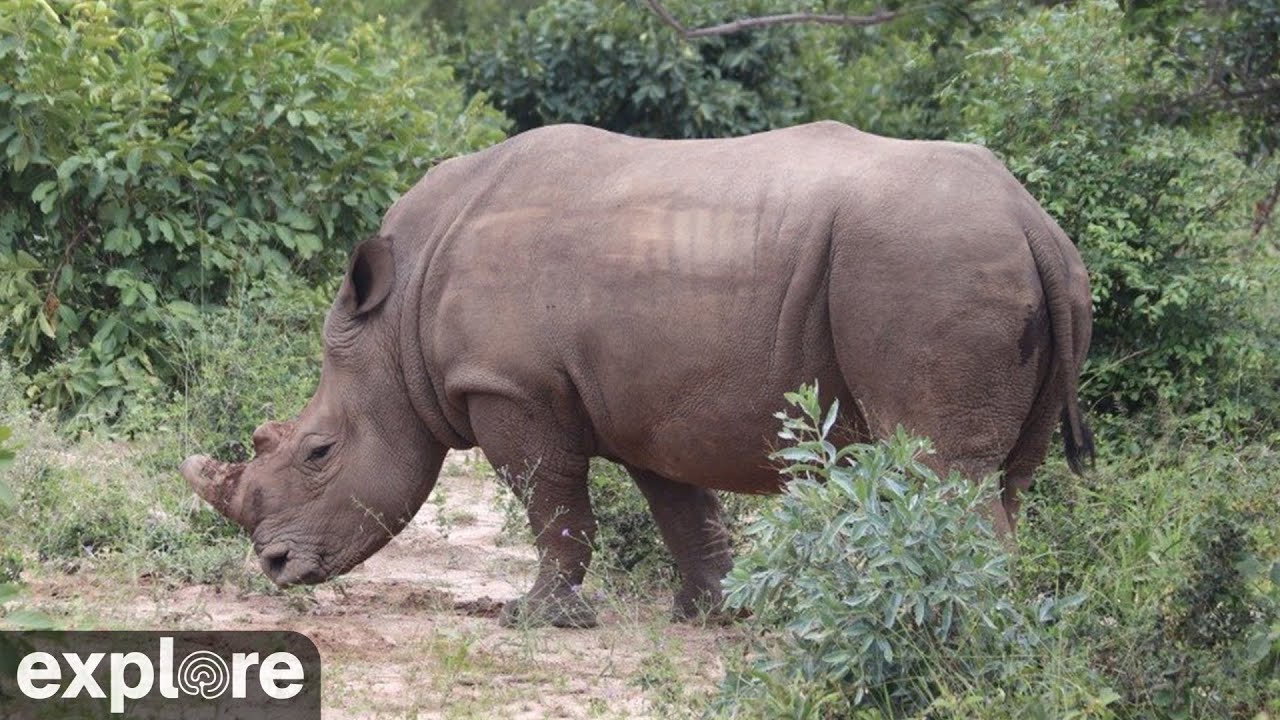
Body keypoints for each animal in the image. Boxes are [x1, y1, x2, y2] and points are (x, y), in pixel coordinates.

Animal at [181, 122, 1093, 628]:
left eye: (318, 453)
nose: (276, 568)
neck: (397, 320)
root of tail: (1031, 220)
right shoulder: (651, 405)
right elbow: (684, 512)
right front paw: (716, 615)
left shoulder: (510, 386)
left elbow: (554, 507)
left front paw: (534, 620)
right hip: (996, 265)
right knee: (1003, 477)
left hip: (927, 263)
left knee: (939, 466)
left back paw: (956, 636)